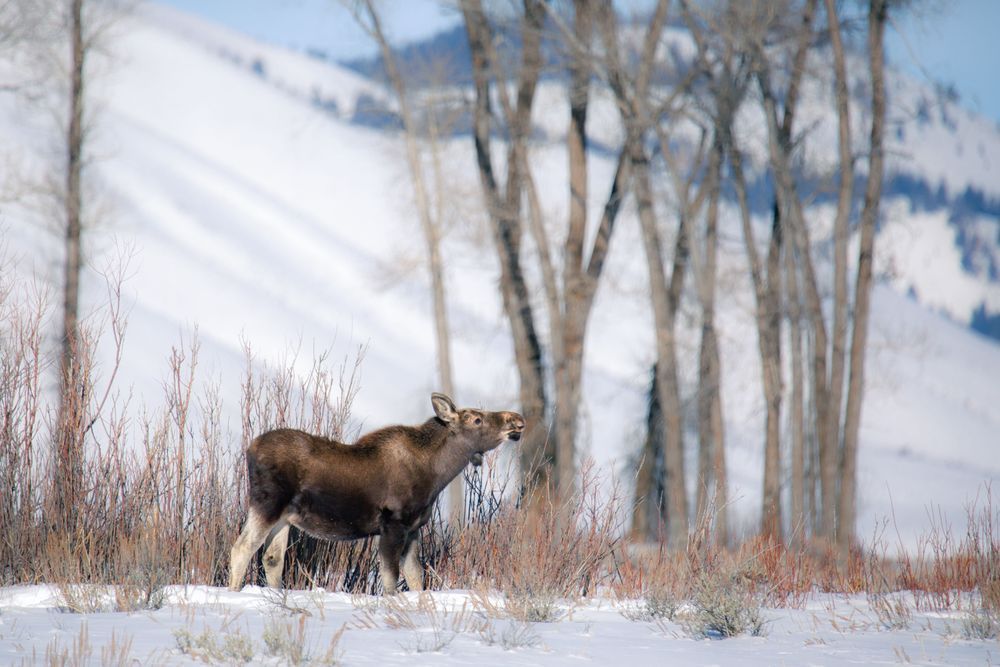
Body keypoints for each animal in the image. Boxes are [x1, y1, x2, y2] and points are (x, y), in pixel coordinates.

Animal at [228, 392, 524, 594]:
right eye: (476, 419)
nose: (517, 420)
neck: (436, 474)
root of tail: (250, 449)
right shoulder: (393, 524)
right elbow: (391, 579)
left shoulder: (414, 528)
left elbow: (415, 578)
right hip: (267, 504)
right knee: (241, 548)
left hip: (284, 517)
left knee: (271, 558)